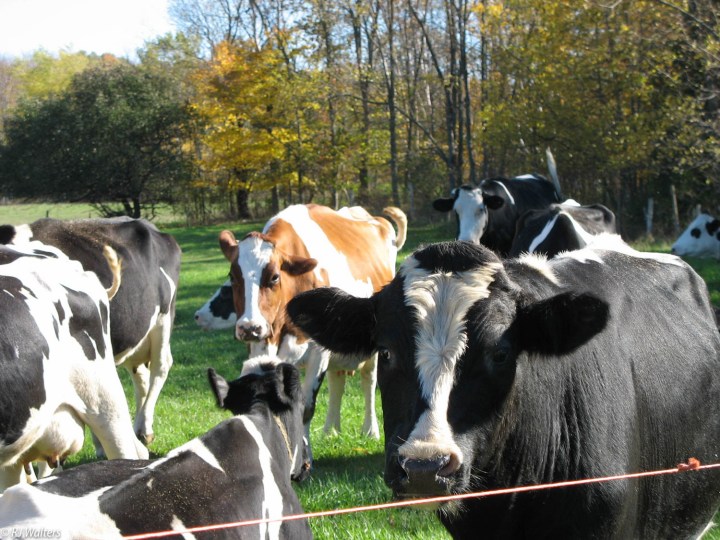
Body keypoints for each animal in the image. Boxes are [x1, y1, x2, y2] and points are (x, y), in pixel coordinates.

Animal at [218, 204, 407, 457]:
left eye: (274, 277)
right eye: (232, 277)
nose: (250, 327)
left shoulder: (319, 352)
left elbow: (306, 407)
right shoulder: (260, 347)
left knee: (369, 380)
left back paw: (370, 430)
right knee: (338, 380)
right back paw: (331, 430)